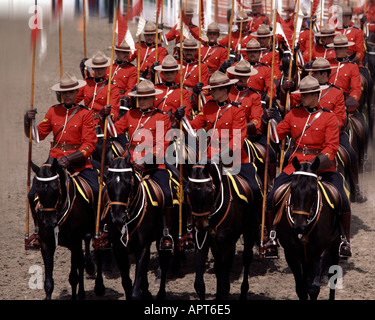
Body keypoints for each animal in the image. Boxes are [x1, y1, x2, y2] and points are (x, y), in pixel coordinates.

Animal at [29, 158, 96, 300]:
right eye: (38, 189)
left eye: (56, 189)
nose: (49, 222)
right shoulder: (46, 244)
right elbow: (48, 282)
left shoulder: (75, 242)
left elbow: (74, 277)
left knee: (84, 255)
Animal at [95, 155, 175, 300]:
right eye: (108, 183)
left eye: (128, 183)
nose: (118, 218)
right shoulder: (119, 248)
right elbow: (127, 283)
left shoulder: (143, 247)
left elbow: (135, 291)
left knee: (164, 261)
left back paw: (160, 294)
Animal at [187, 162, 260, 300]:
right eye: (188, 191)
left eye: (209, 191)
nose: (201, 225)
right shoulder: (202, 242)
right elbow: (199, 285)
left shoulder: (228, 245)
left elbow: (225, 285)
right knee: (219, 266)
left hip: (249, 231)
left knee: (246, 258)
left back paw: (243, 292)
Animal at [276, 158, 344, 300]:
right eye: (292, 188)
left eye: (313, 190)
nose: (299, 225)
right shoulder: (291, 253)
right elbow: (301, 290)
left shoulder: (320, 251)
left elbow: (313, 288)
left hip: (335, 244)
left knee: (333, 278)